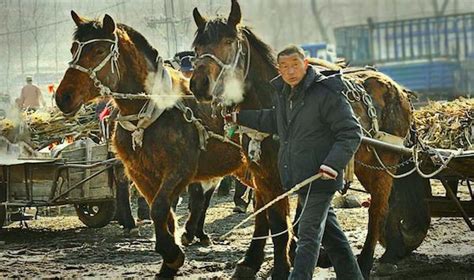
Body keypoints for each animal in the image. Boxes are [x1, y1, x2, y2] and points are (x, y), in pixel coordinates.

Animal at [54, 11, 292, 280]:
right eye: (74, 48)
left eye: (99, 50)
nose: (63, 97)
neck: (153, 111)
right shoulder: (141, 174)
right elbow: (162, 211)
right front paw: (170, 260)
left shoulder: (180, 170)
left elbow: (161, 208)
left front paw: (173, 253)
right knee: (264, 203)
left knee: (265, 203)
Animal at [190, 0, 418, 276]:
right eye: (197, 47)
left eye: (228, 41)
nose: (199, 85)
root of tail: (397, 88)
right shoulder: (262, 175)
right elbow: (267, 217)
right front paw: (255, 260)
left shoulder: (278, 177)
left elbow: (280, 223)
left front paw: (282, 267)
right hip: (366, 164)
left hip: (384, 163)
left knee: (378, 208)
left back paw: (365, 261)